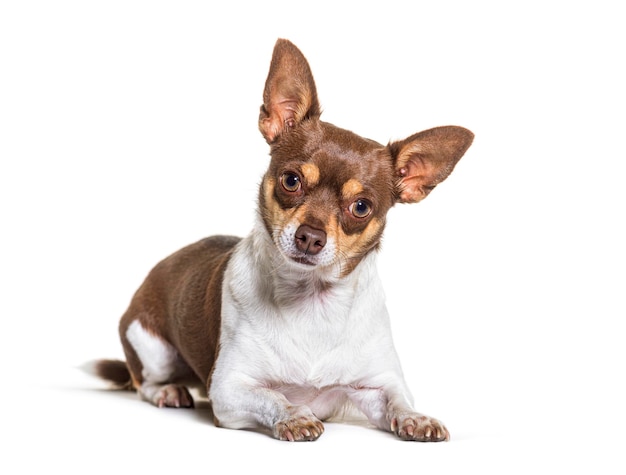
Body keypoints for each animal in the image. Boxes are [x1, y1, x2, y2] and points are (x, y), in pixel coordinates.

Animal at [91, 38, 472, 442]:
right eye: (291, 181)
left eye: (361, 206)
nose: (310, 237)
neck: (312, 301)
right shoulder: (227, 389)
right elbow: (273, 397)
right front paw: (294, 415)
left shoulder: (378, 384)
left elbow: (399, 400)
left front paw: (418, 418)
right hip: (151, 346)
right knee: (144, 383)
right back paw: (169, 391)